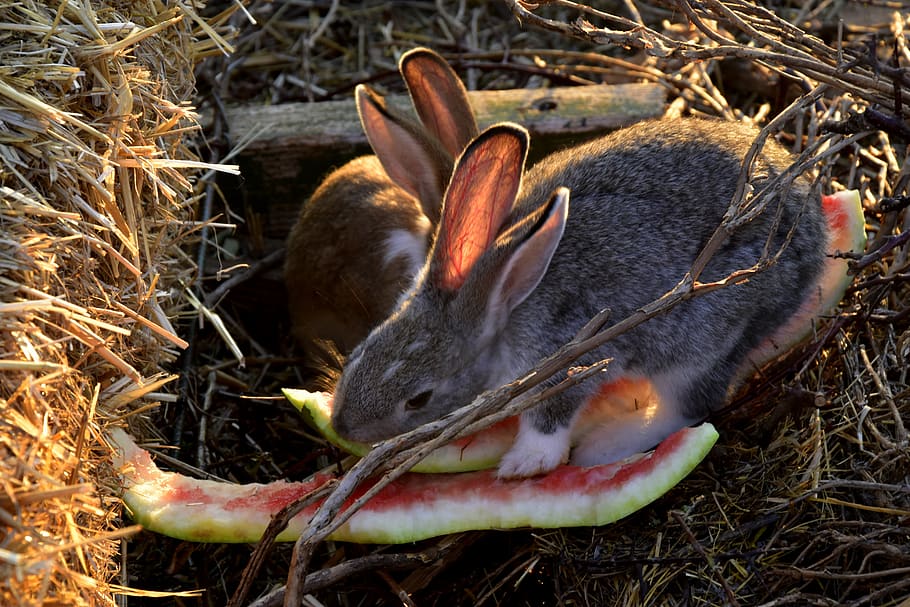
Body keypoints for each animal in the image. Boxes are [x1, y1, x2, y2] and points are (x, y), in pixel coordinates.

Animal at [331, 117, 828, 478]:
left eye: (419, 399)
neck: (504, 303)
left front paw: (524, 463)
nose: (342, 425)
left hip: (705, 337)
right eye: (360, 352)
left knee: (689, 406)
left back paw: (607, 444)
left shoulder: (567, 354)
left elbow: (550, 416)